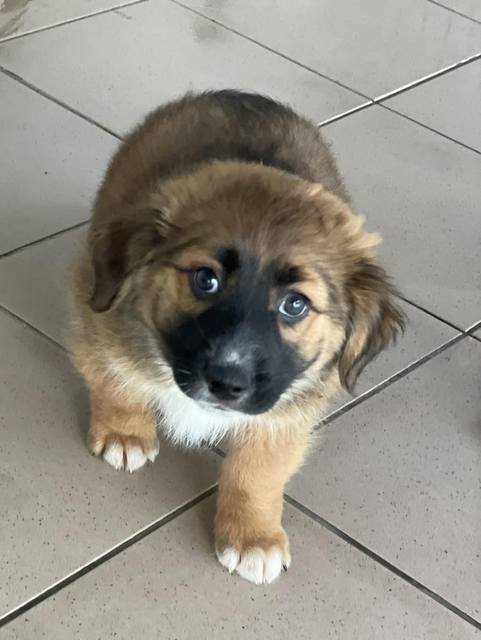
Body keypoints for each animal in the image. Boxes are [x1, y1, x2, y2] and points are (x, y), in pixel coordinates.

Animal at [70, 90, 404, 585]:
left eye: (295, 305)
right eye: (205, 280)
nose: (227, 384)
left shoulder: (286, 411)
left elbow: (257, 471)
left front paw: (253, 536)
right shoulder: (97, 314)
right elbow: (114, 379)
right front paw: (124, 432)